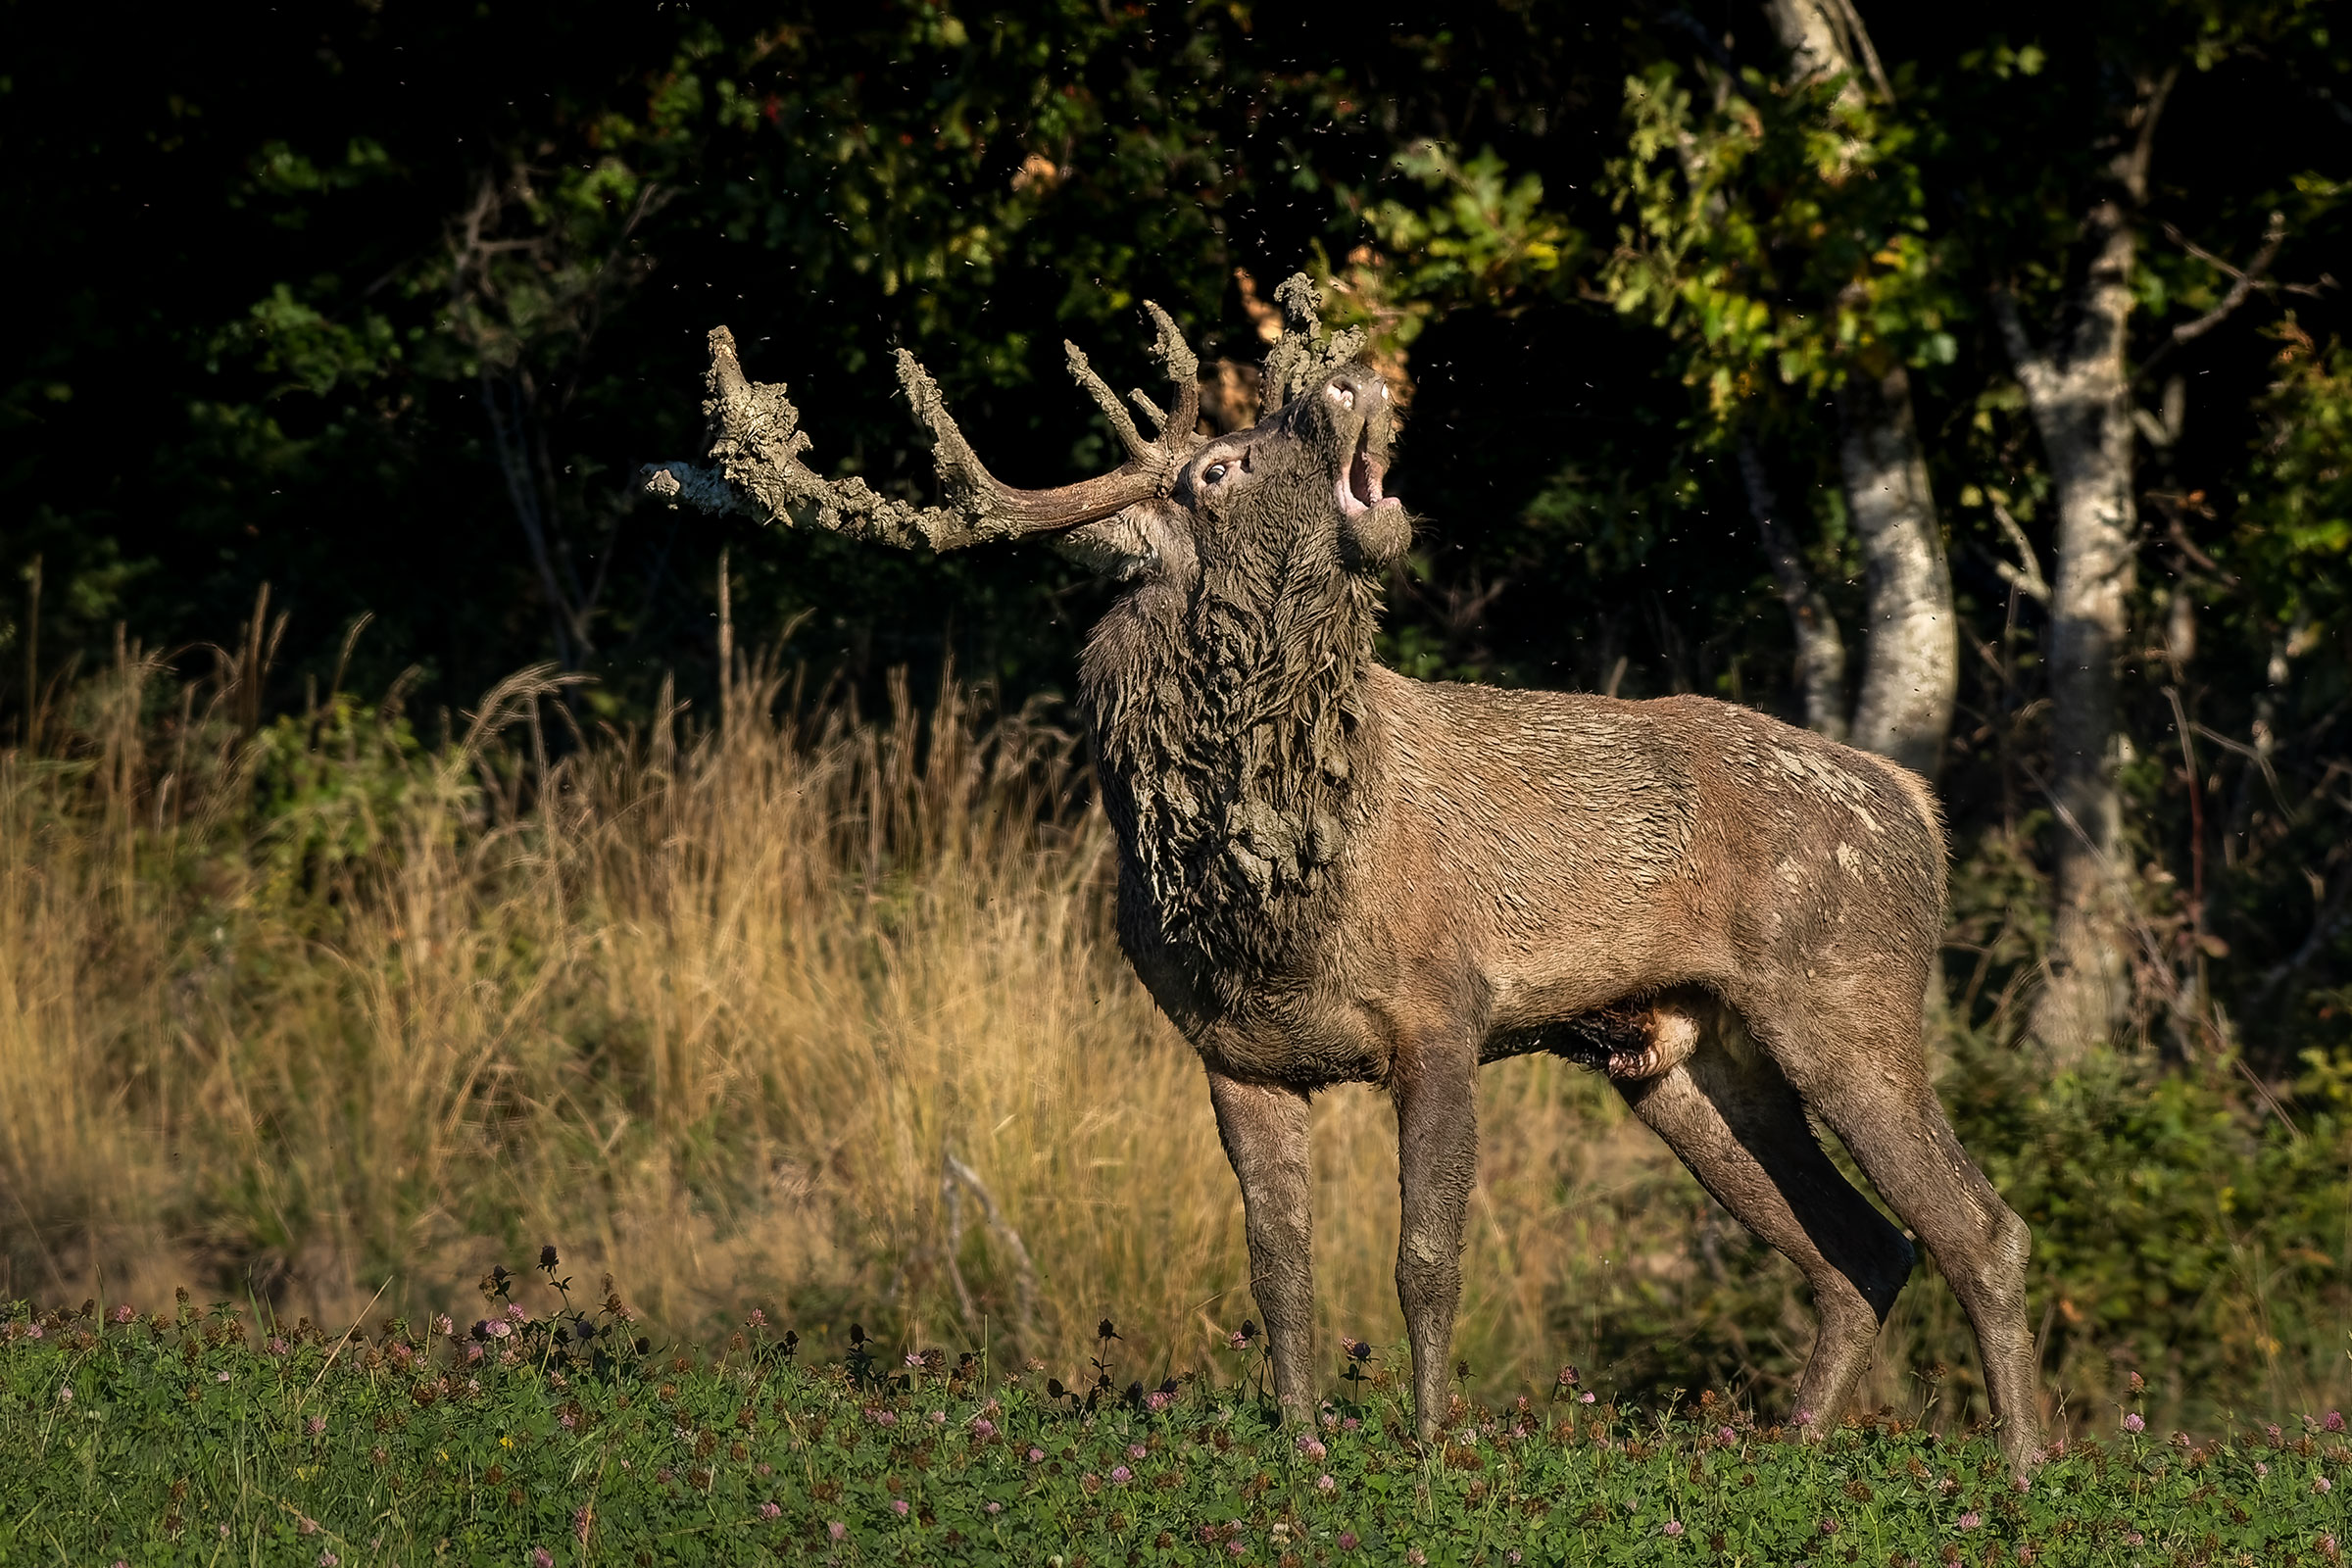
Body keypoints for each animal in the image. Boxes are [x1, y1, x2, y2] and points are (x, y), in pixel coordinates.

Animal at [640, 275, 2042, 1473]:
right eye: (1219, 465)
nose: (1350, 380)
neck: (1278, 902)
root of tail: (1916, 803)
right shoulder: (1231, 1050)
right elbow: (1279, 1266)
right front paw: (1302, 1441)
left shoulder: (1447, 1004)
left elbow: (1427, 1256)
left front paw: (1426, 1448)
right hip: (1679, 1054)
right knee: (1860, 1251)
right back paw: (1794, 1448)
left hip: (1844, 992)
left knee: (1978, 1225)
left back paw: (2023, 1472)